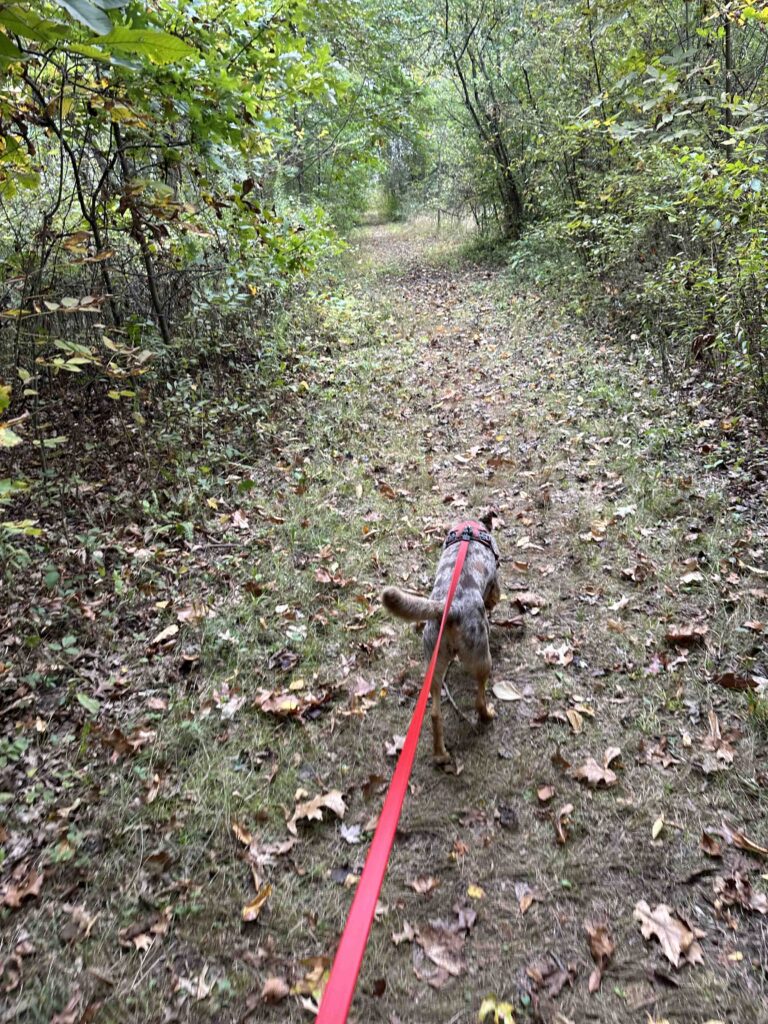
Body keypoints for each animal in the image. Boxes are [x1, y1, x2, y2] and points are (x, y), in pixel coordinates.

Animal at [382, 516, 501, 765]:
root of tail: (451, 609)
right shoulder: (495, 581)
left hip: (434, 664)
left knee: (435, 714)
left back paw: (440, 754)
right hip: (481, 657)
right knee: (479, 699)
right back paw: (487, 715)